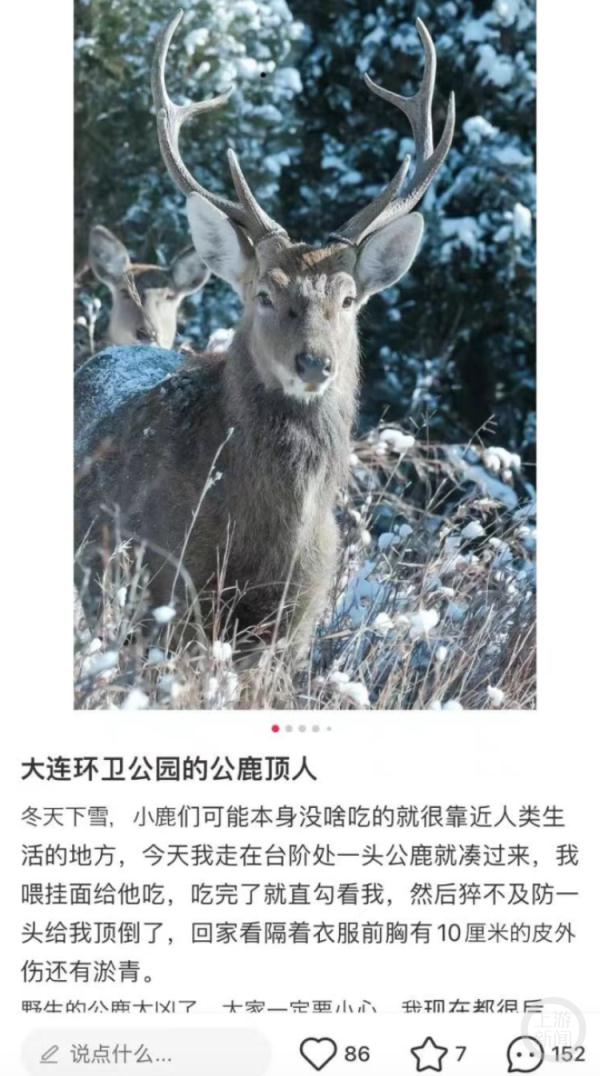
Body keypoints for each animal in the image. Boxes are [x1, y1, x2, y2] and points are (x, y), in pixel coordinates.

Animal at [75, 12, 455, 659]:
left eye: (348, 299)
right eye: (264, 294)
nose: (315, 363)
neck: (262, 539)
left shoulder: (298, 620)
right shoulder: (165, 586)